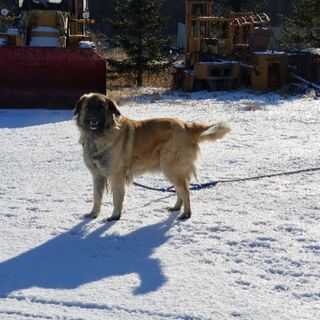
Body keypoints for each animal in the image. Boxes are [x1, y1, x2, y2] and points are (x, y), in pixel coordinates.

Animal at [74, 92, 230, 220]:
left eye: (101, 107)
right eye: (88, 107)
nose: (93, 117)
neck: (98, 138)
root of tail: (187, 126)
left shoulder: (116, 176)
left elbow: (116, 198)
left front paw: (115, 216)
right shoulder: (97, 176)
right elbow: (96, 197)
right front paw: (93, 214)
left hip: (172, 168)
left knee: (185, 191)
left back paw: (186, 214)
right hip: (171, 169)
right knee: (180, 190)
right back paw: (176, 208)